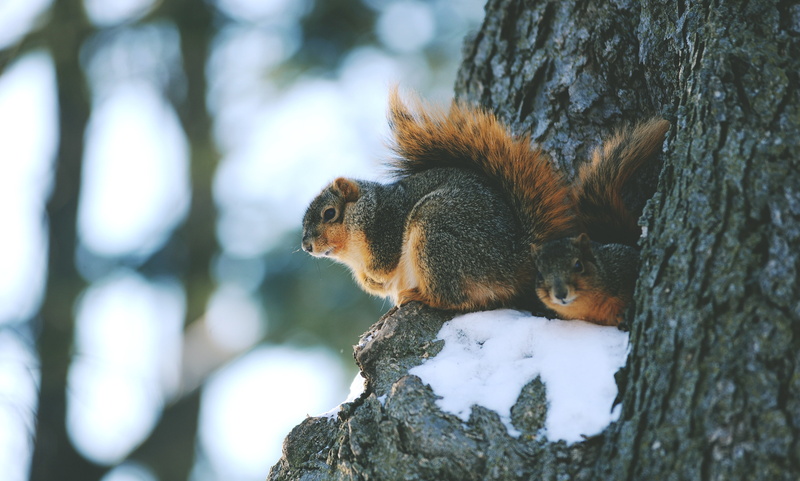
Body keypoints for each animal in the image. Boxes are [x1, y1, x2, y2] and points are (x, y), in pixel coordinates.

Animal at [301, 89, 578, 311]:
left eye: (329, 213)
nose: (306, 246)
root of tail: (514, 258)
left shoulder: (386, 226)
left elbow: (384, 265)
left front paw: (372, 276)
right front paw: (369, 282)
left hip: (435, 234)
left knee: (455, 299)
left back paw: (419, 296)